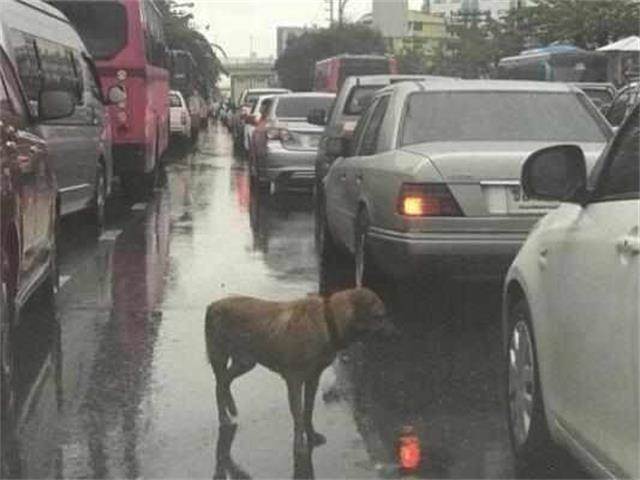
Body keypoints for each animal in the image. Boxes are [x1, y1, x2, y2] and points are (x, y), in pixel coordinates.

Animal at [206, 286, 396, 452]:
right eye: (379, 316)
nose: (396, 334)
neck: (328, 321)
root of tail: (213, 305)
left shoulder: (313, 378)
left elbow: (308, 410)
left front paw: (311, 435)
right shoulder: (294, 381)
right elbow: (297, 412)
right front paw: (299, 444)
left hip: (244, 361)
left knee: (224, 381)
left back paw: (230, 408)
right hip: (223, 356)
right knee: (219, 384)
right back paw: (223, 417)